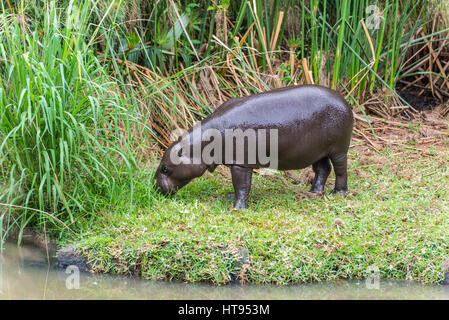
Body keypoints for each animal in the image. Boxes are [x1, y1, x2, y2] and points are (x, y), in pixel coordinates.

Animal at [154, 85, 354, 209]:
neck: (200, 145)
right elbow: (238, 187)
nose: (154, 188)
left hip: (338, 149)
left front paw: (237, 208)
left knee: (341, 170)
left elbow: (242, 185)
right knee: (323, 169)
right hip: (317, 151)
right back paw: (313, 192)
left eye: (165, 168)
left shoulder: (240, 163)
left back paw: (337, 194)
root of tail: (344, 101)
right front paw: (230, 197)